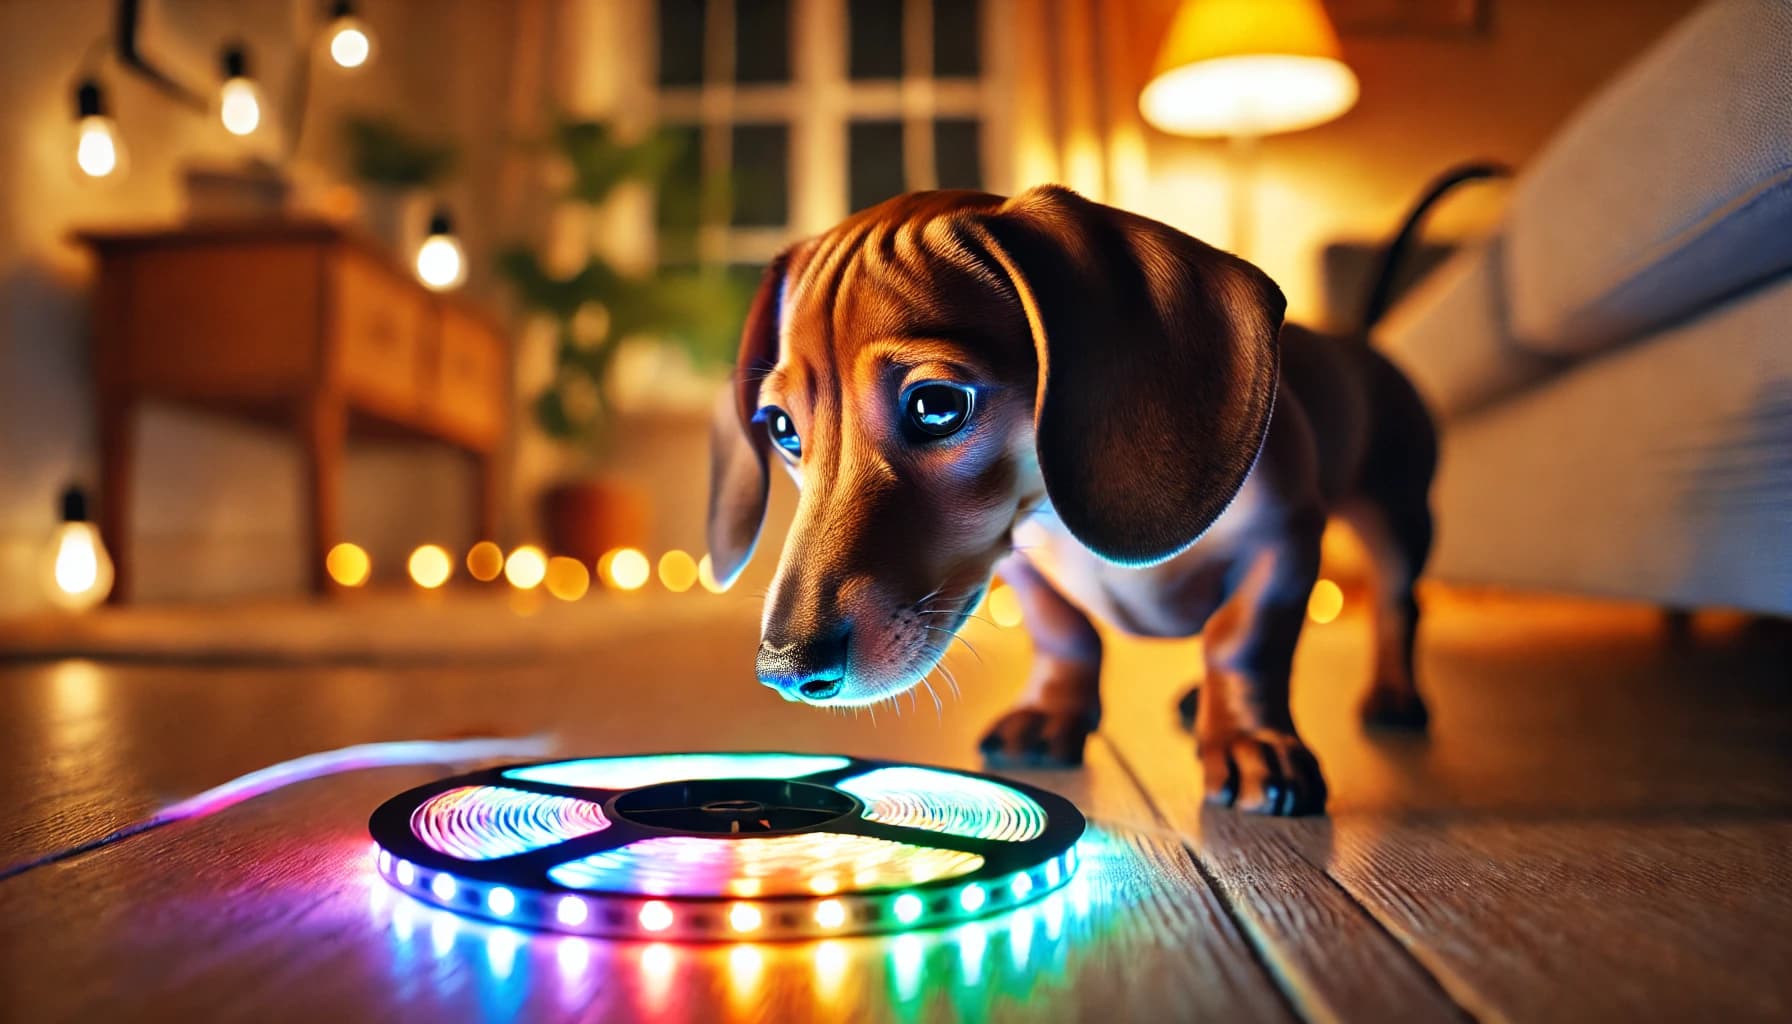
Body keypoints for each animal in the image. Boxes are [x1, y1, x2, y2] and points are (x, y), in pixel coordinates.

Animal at [706, 188, 1433, 817]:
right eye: (782, 428)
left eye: (937, 405)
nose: (786, 668)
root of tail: (1358, 337)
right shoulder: (1017, 562)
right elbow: (1065, 633)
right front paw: (1051, 714)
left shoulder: (1284, 540)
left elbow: (1243, 641)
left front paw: (1253, 741)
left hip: (1398, 514)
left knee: (1398, 602)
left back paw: (1393, 695)